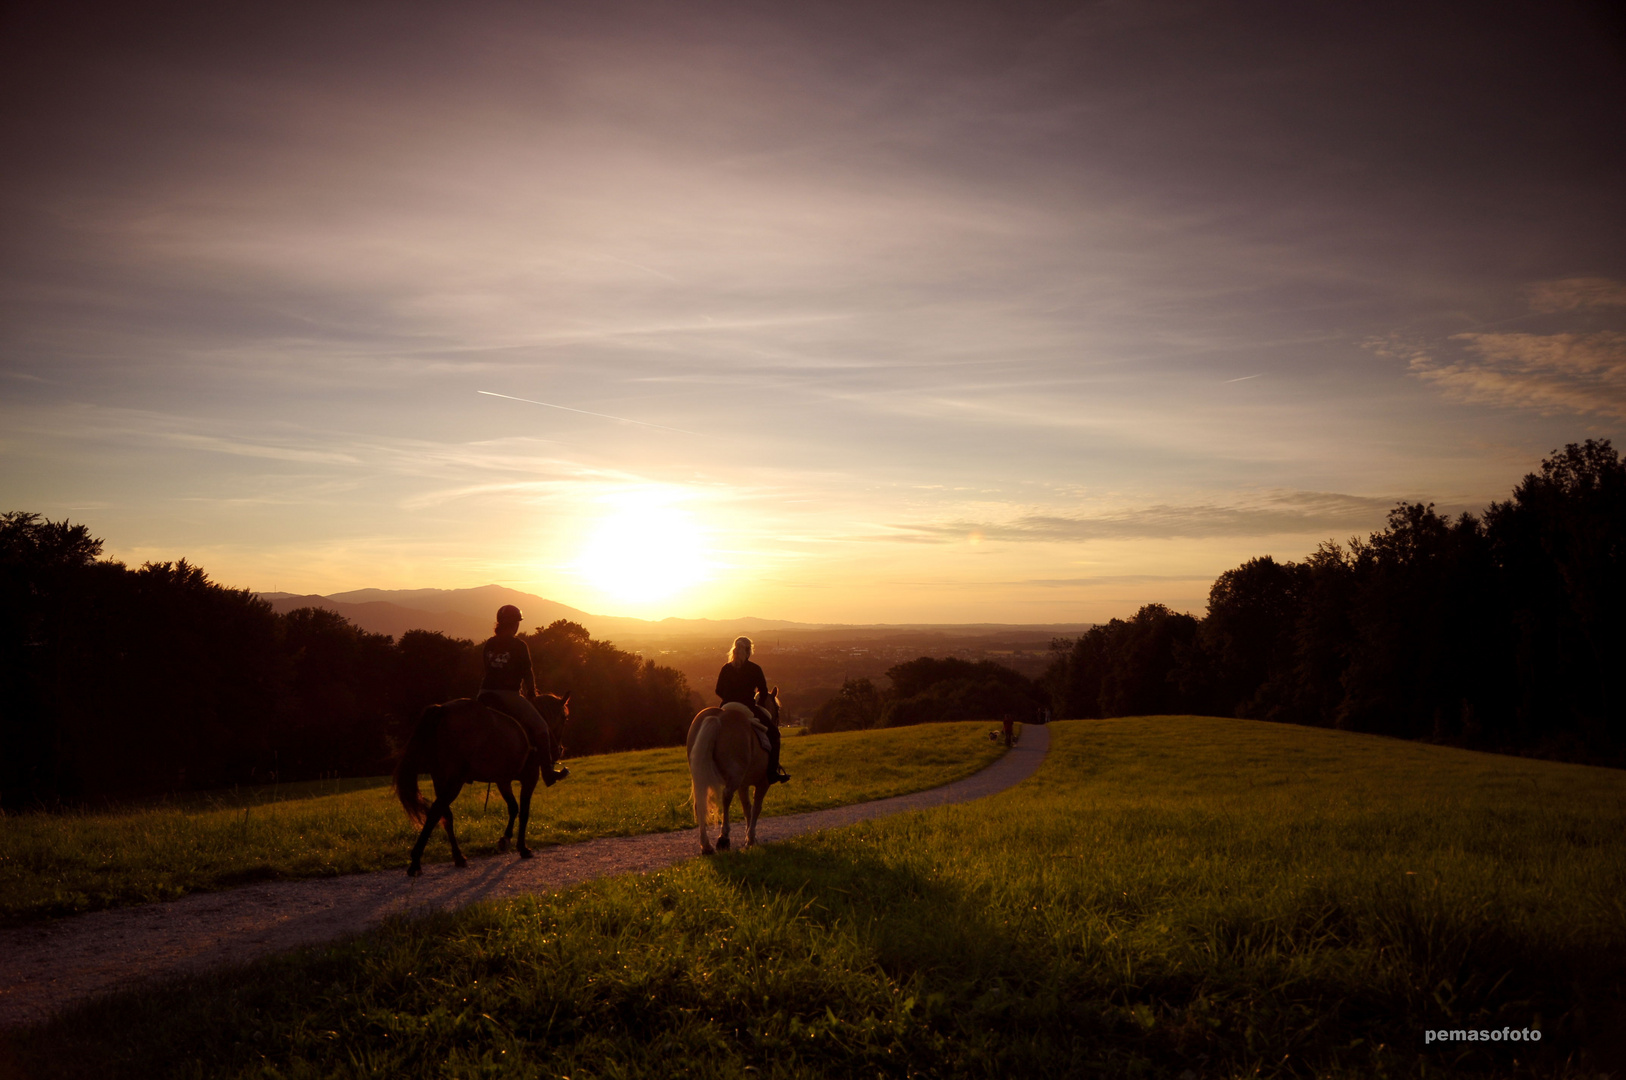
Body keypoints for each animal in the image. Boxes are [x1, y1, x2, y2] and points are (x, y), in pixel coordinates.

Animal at [391, 692, 572, 878]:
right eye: (565, 718)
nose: (560, 750)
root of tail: (441, 710)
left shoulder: (502, 780)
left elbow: (513, 808)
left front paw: (505, 839)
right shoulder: (530, 778)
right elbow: (524, 812)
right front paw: (522, 848)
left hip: (440, 778)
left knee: (445, 814)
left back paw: (458, 857)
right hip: (455, 779)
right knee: (436, 811)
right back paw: (415, 862)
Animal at [686, 686, 780, 858]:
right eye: (777, 708)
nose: (777, 721)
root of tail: (717, 717)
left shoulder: (743, 784)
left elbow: (747, 808)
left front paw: (750, 838)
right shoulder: (763, 782)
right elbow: (756, 807)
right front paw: (750, 838)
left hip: (703, 775)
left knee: (699, 803)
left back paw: (706, 846)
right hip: (734, 776)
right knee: (726, 797)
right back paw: (723, 838)